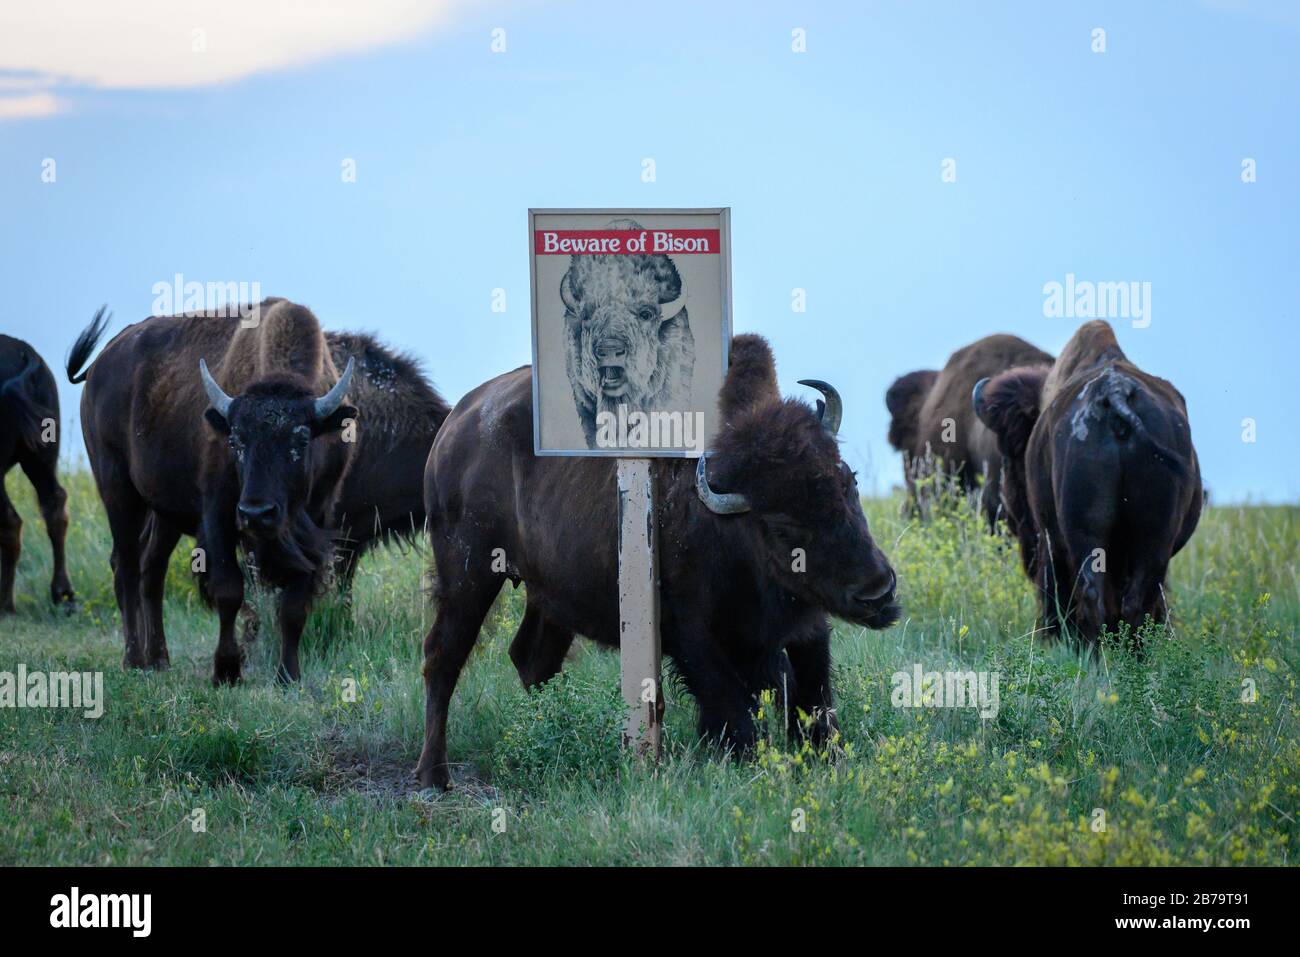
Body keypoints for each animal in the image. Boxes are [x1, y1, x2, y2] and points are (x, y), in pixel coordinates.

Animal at [1, 334, 75, 611]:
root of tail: (26, 354)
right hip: (40, 457)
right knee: (54, 502)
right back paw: (63, 594)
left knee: (10, 520)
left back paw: (6, 604)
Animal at [67, 300, 357, 681]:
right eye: (235, 441)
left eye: (302, 439)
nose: (257, 514)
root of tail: (100, 364)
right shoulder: (218, 515)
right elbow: (228, 591)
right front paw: (226, 671)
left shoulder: (315, 520)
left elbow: (294, 604)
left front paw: (288, 675)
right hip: (117, 489)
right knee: (125, 567)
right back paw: (134, 661)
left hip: (164, 515)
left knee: (150, 570)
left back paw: (159, 660)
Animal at [416, 334, 899, 790]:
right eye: (781, 526)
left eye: (849, 482)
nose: (878, 591)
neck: (729, 525)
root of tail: (454, 426)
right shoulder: (693, 637)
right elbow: (734, 710)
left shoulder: (804, 630)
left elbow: (814, 699)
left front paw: (823, 763)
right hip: (468, 572)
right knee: (443, 656)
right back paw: (434, 776)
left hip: (548, 595)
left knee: (532, 658)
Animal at [973, 319, 1201, 645]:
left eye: (1009, 456)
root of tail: (1115, 392)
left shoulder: (1049, 542)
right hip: (1154, 540)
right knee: (1135, 601)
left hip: (1084, 538)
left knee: (1094, 596)